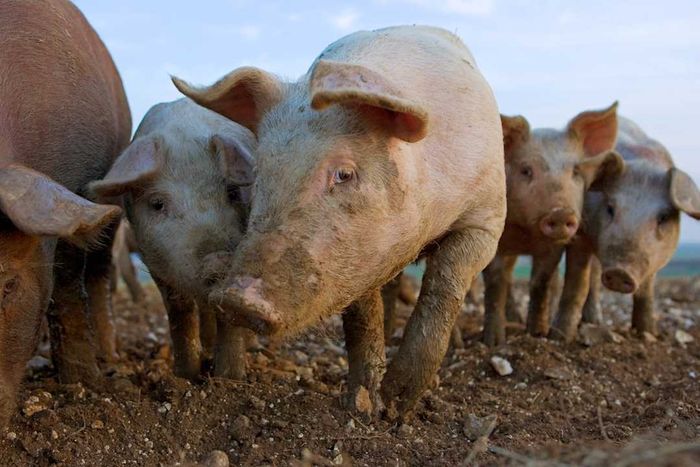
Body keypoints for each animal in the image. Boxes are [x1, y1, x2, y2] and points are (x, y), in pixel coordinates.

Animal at [0, 0, 130, 426]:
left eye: (8, 286)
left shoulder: (79, 183)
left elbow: (69, 286)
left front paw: (82, 382)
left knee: (100, 272)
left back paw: (109, 356)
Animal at [90, 99, 255, 380]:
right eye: (157, 204)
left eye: (232, 192)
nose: (218, 259)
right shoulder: (155, 260)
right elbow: (180, 312)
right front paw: (186, 375)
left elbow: (229, 317)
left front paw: (229, 378)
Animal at [174, 25, 506, 418]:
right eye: (260, 172)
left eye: (344, 174)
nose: (239, 300)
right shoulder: (358, 260)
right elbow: (362, 317)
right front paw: (362, 405)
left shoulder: (488, 216)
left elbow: (445, 284)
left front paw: (397, 403)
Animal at [482, 104, 623, 347]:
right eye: (526, 170)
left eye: (575, 171)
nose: (560, 212)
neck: (526, 235)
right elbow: (496, 283)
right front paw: (492, 342)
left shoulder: (554, 247)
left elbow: (541, 282)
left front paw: (538, 334)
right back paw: (513, 319)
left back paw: (591, 322)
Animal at [550, 117, 700, 341]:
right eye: (610, 208)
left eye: (663, 217)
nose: (620, 272)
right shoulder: (580, 234)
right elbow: (577, 285)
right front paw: (558, 337)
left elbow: (646, 292)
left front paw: (649, 334)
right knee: (592, 279)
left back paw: (595, 322)